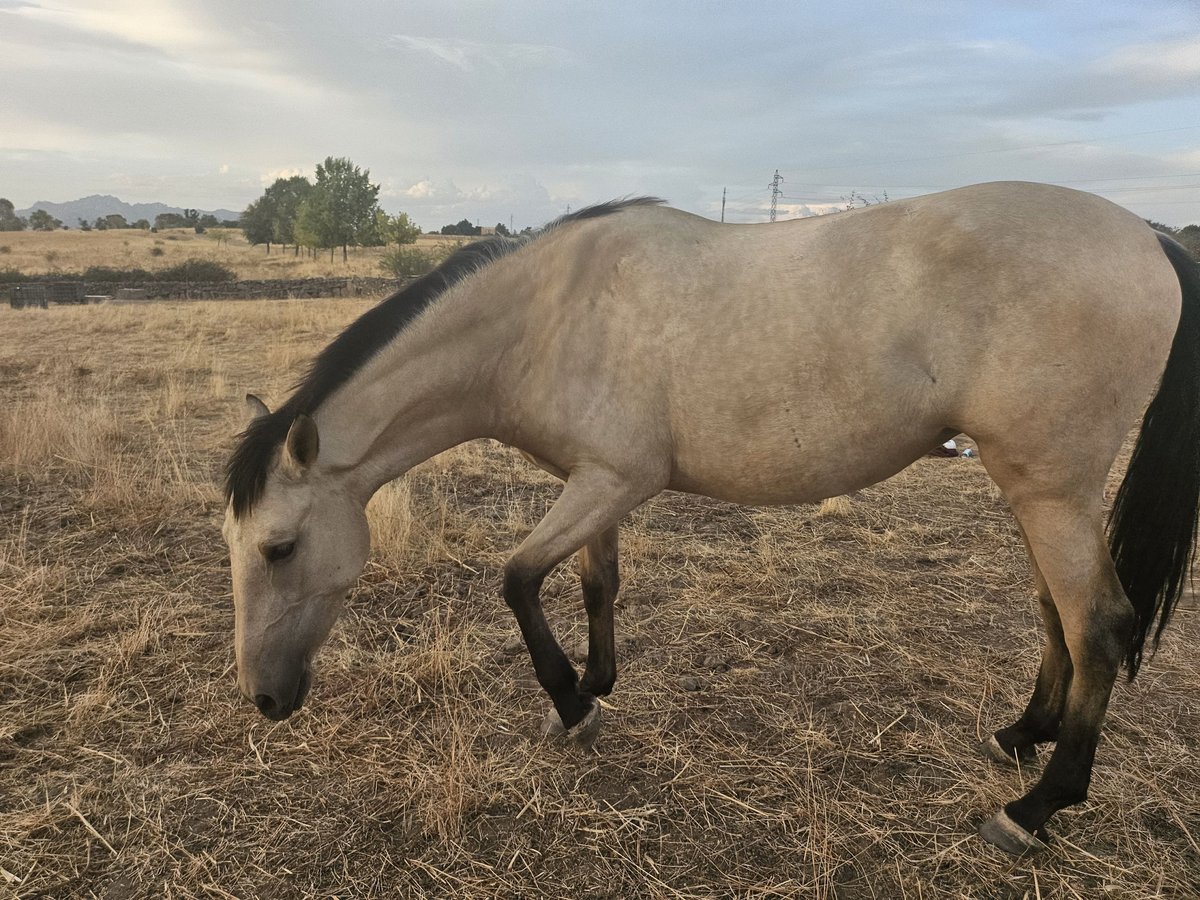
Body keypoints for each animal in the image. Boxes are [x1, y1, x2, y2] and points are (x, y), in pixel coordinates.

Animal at [222, 182, 1200, 855]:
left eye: (280, 547)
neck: (546, 315)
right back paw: (1022, 736)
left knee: (1099, 626)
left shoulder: (615, 480)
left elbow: (518, 579)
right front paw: (598, 683)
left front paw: (572, 703)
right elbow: (595, 583)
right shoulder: (595, 483)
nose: (265, 699)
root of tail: (1147, 235)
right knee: (1056, 616)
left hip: (1050, 491)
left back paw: (1035, 809)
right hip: (1033, 488)